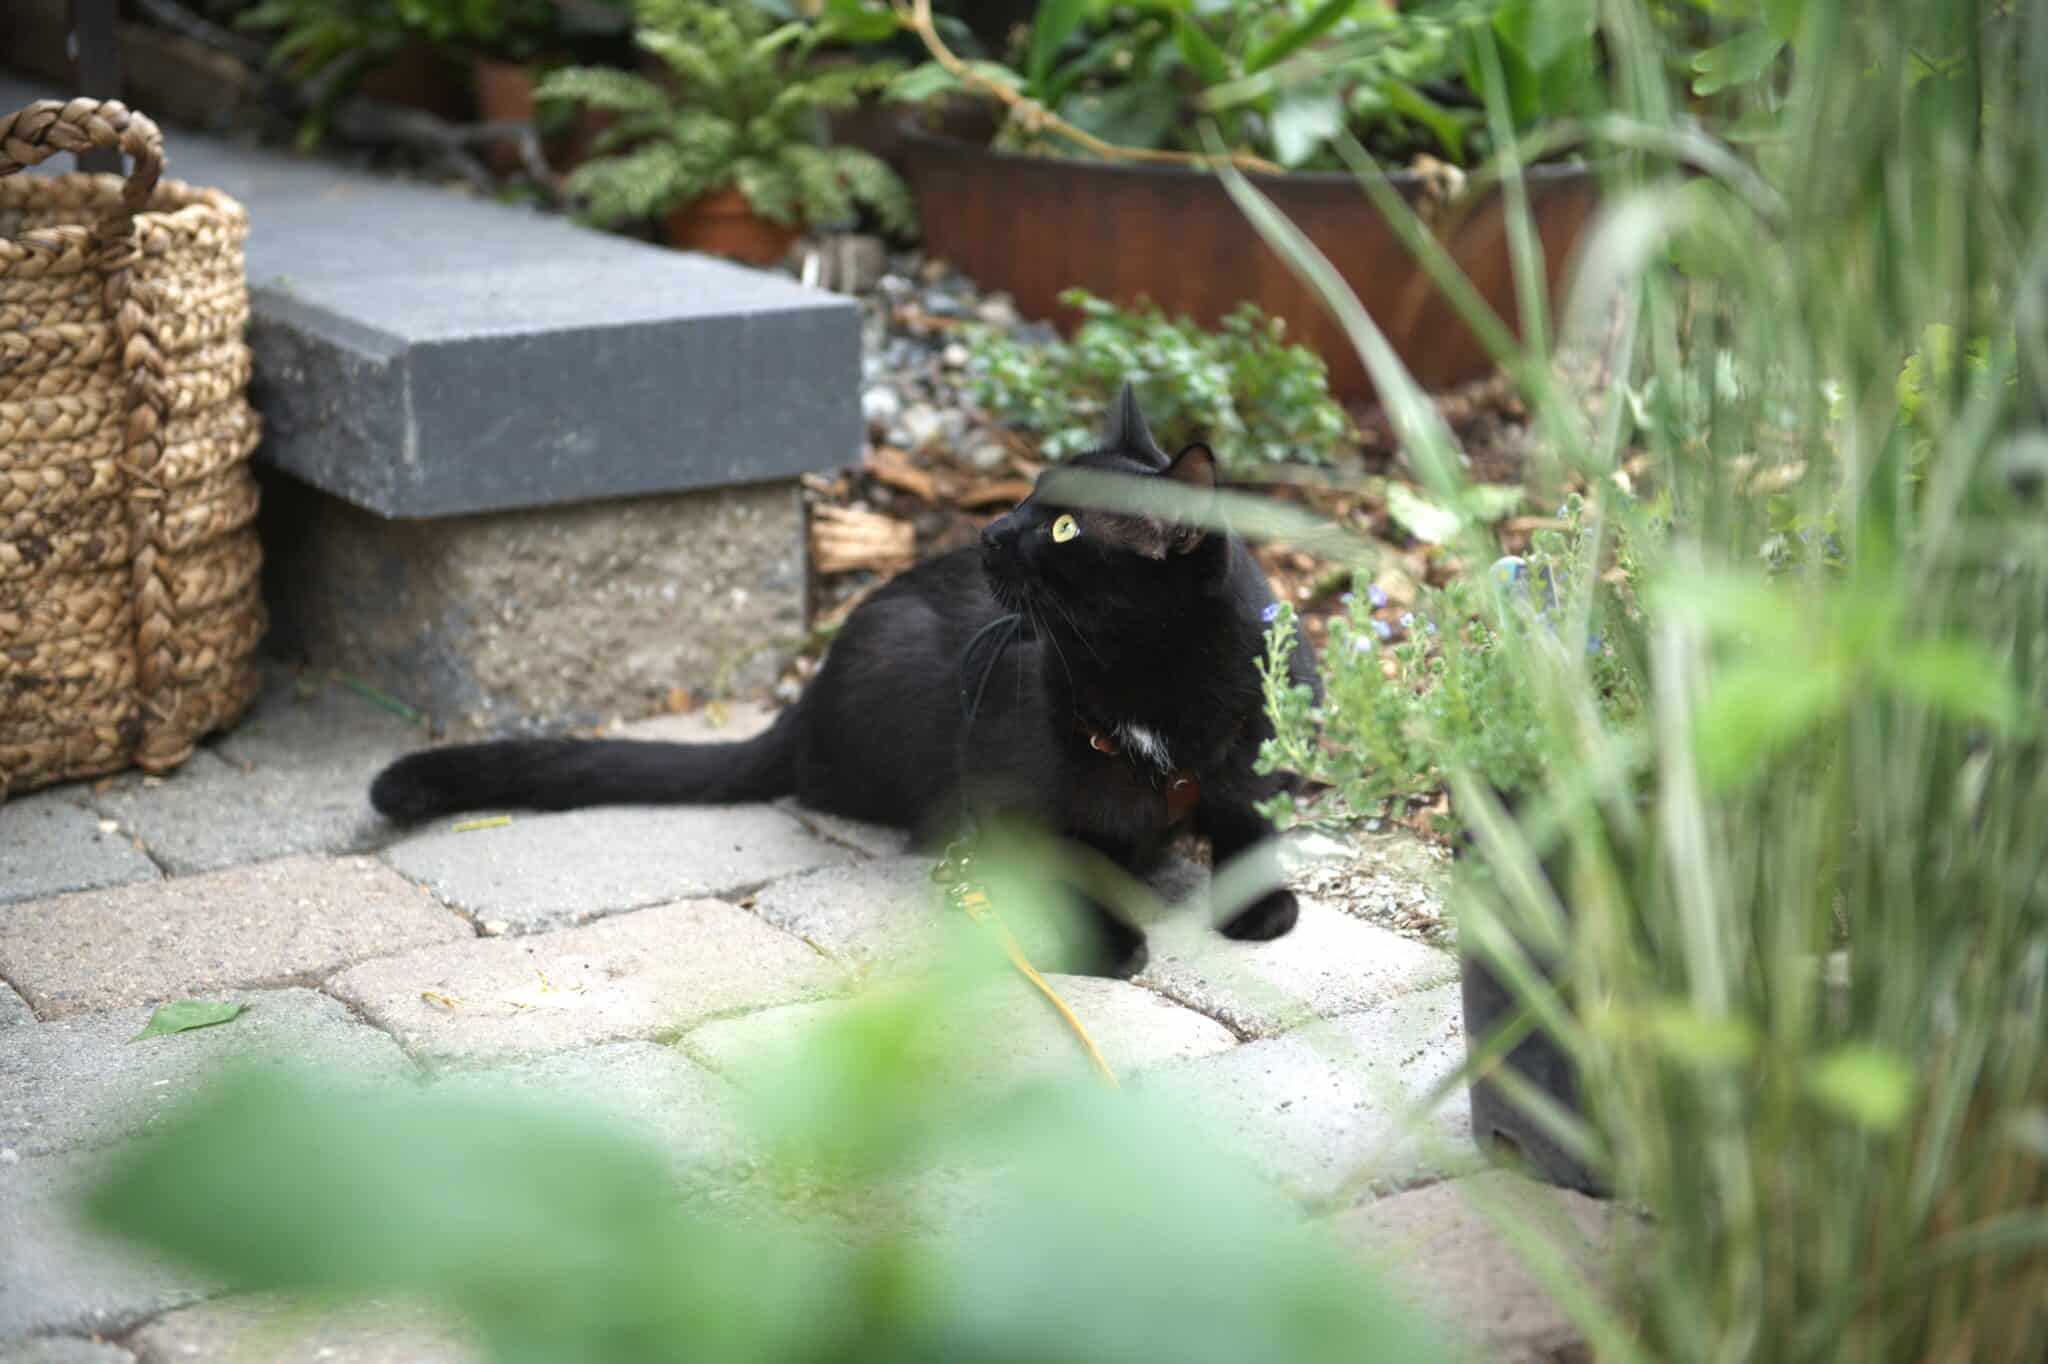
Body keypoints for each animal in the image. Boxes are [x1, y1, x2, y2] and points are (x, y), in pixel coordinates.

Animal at [370, 382, 1318, 966]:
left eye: (1062, 530)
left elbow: (1249, 825)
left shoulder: (1253, 760)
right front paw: (1107, 943)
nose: (989, 532)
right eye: (1025, 496)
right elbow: (1070, 869)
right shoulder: (1011, 804)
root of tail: (807, 692)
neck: (1150, 690)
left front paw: (1260, 906)